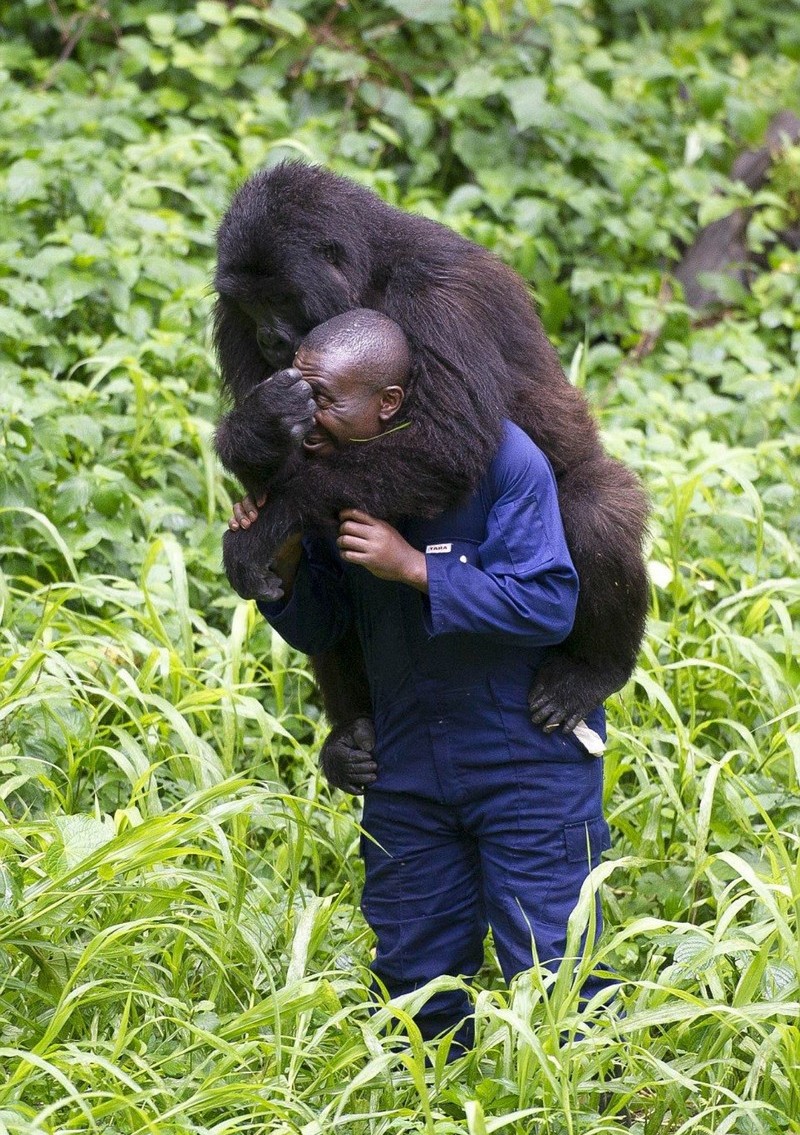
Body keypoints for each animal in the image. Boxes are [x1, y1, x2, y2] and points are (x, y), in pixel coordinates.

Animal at [212, 157, 649, 762]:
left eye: (279, 298)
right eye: (250, 304)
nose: (270, 338)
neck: (365, 277)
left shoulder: (440, 295)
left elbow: (447, 444)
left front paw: (263, 527)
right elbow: (278, 471)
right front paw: (256, 431)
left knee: (596, 508)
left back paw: (594, 669)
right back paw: (351, 735)